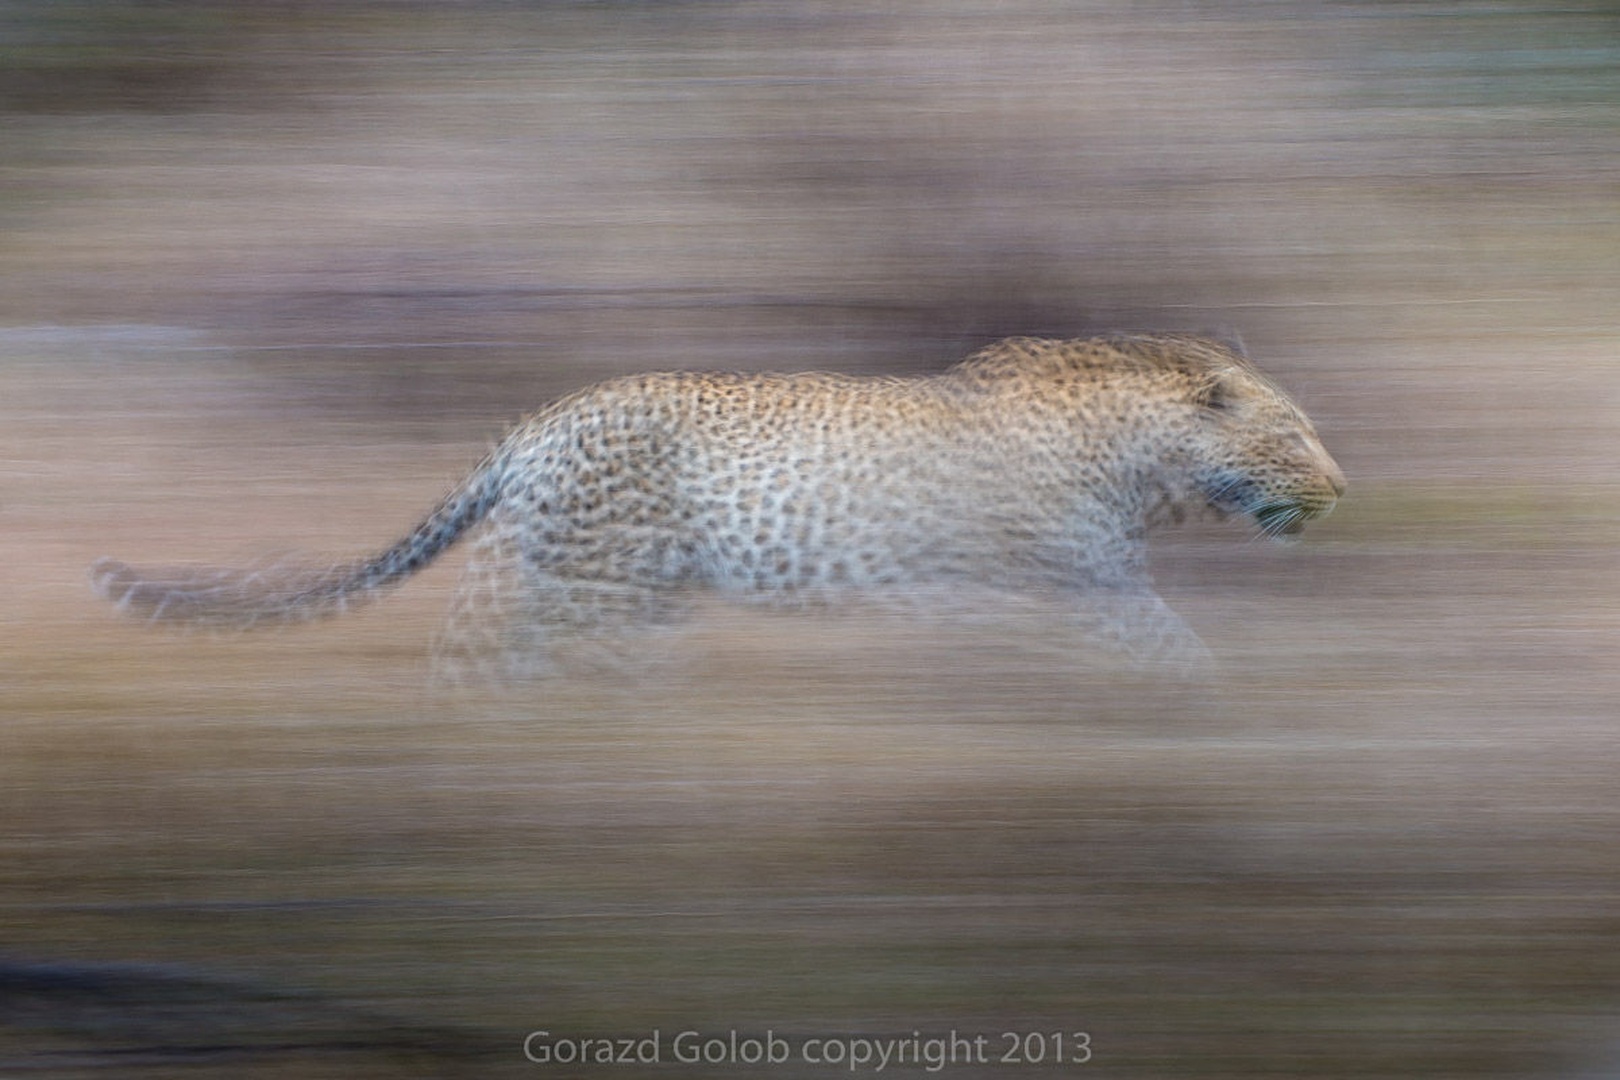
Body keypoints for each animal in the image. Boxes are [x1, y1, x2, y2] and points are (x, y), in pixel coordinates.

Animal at [90, 333, 1345, 677]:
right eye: (1292, 433)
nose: (1341, 488)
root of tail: (543, 417)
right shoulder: (1084, 588)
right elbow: (1176, 659)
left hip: (573, 576)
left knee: (476, 649)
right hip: (600, 584)